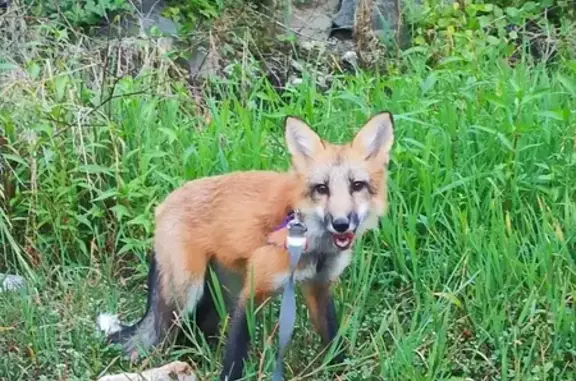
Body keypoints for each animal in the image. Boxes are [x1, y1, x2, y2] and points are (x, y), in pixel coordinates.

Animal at [99, 111, 396, 378]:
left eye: (357, 185)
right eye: (322, 188)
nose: (341, 223)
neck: (311, 242)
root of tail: (162, 206)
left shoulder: (319, 286)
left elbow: (332, 339)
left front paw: (341, 371)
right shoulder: (253, 291)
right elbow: (235, 354)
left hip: (219, 294)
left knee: (195, 331)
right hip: (184, 295)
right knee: (152, 341)